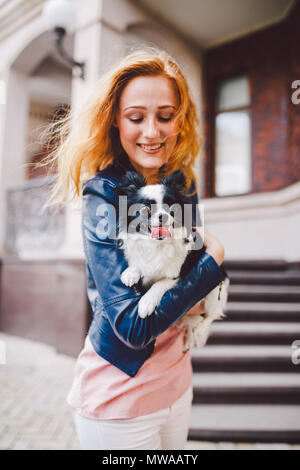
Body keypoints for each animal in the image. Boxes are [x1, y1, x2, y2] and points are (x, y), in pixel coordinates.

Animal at [117, 171, 230, 350]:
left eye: (171, 208)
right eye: (145, 209)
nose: (163, 216)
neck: (157, 244)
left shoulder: (178, 273)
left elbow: (159, 284)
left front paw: (146, 303)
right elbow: (139, 262)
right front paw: (131, 273)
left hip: (215, 293)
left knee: (209, 317)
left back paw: (198, 331)